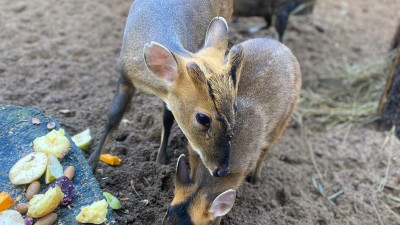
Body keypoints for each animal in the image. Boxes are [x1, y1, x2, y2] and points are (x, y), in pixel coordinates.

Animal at [86, 0, 234, 177]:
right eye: (203, 118)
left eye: (234, 108)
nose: (222, 170)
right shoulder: (124, 78)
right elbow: (113, 117)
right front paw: (91, 164)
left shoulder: (168, 94)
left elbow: (167, 118)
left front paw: (160, 160)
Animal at [162, 37, 300, 224]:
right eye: (165, 214)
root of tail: (282, 45)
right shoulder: (193, 151)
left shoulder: (242, 169)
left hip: (284, 120)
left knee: (266, 150)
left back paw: (256, 180)